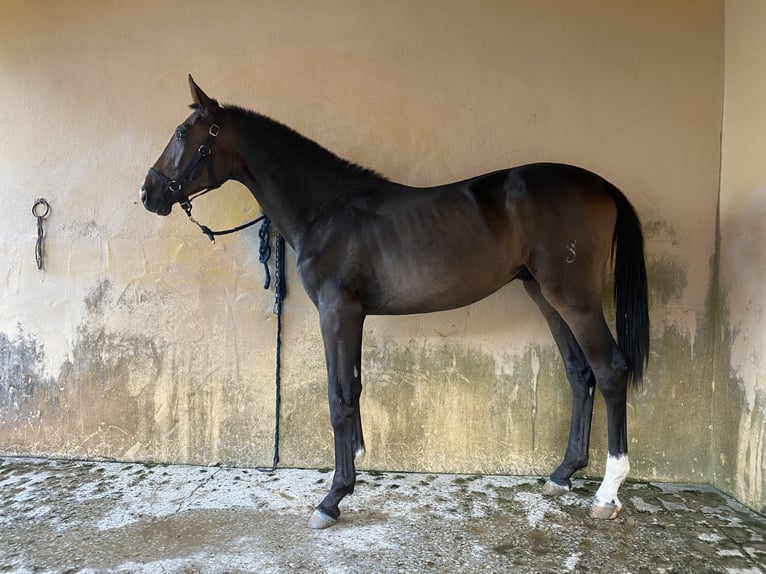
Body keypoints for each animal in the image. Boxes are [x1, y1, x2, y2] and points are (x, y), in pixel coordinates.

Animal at [141, 76, 649, 529]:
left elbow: (338, 396)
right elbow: (354, 386)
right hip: (544, 295)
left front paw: (333, 498)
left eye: (183, 134)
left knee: (609, 370)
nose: (148, 193)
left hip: (574, 298)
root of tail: (599, 184)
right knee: (579, 373)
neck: (326, 211)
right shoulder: (354, 315)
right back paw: (563, 475)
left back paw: (607, 493)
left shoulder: (337, 312)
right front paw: (354, 463)